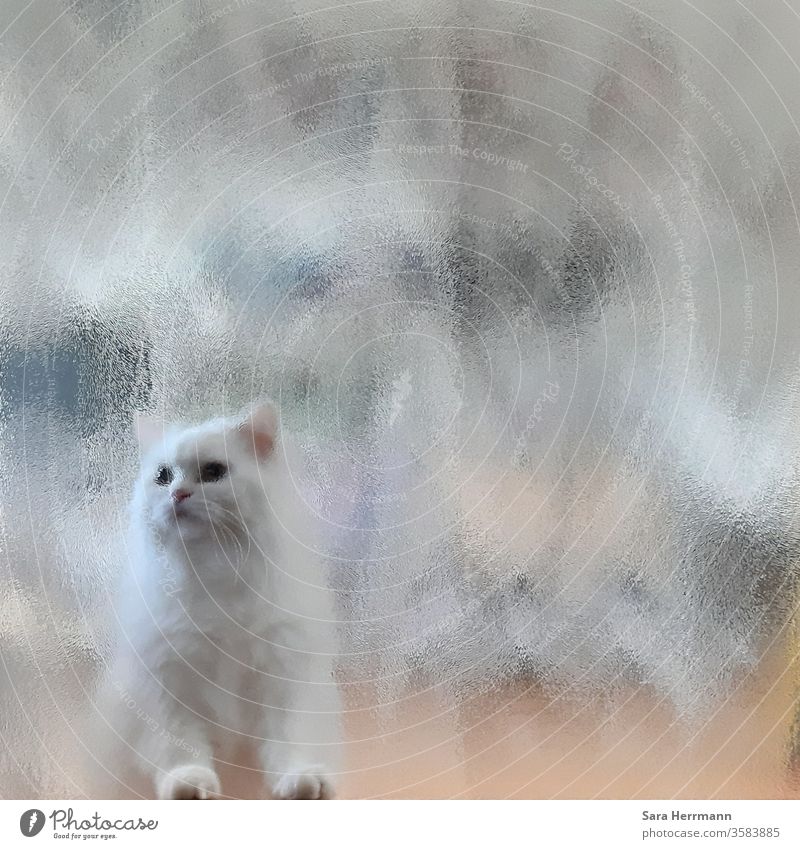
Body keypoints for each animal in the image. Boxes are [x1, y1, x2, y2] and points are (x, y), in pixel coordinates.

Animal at [98, 400, 340, 800]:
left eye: (213, 472)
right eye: (163, 476)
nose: (177, 495)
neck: (214, 568)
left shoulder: (285, 675)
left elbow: (290, 740)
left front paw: (301, 780)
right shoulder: (169, 680)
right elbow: (181, 747)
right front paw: (188, 784)